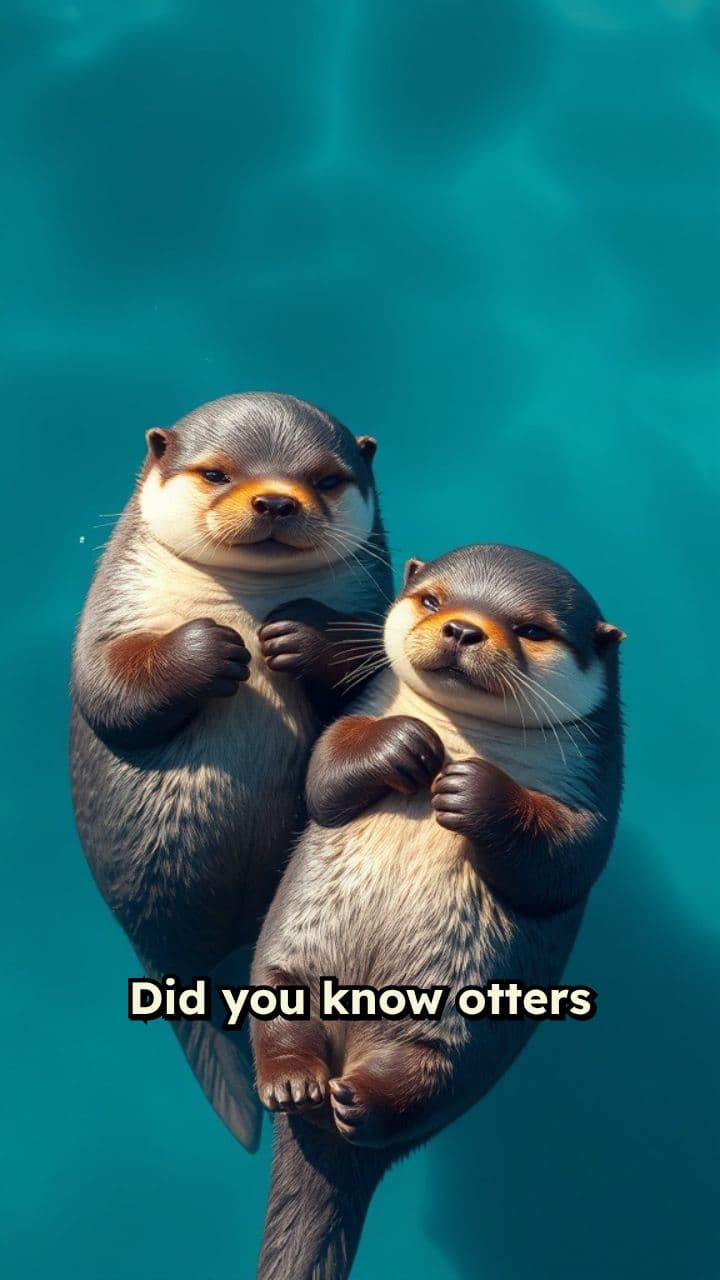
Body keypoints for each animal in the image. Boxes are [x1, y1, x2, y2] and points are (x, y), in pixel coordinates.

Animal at [70, 392, 392, 1151]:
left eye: (326, 478)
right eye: (216, 473)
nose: (274, 500)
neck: (244, 603)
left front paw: (303, 633)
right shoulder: (110, 610)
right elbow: (106, 690)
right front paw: (207, 649)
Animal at [251, 543, 624, 1278]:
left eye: (533, 630)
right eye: (433, 600)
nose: (462, 629)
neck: (464, 736)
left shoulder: (595, 793)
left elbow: (566, 860)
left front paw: (475, 790)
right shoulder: (353, 721)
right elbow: (324, 773)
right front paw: (401, 742)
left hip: (460, 1044)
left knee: (425, 1084)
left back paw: (360, 1103)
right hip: (280, 971)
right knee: (275, 1023)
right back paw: (293, 1084)